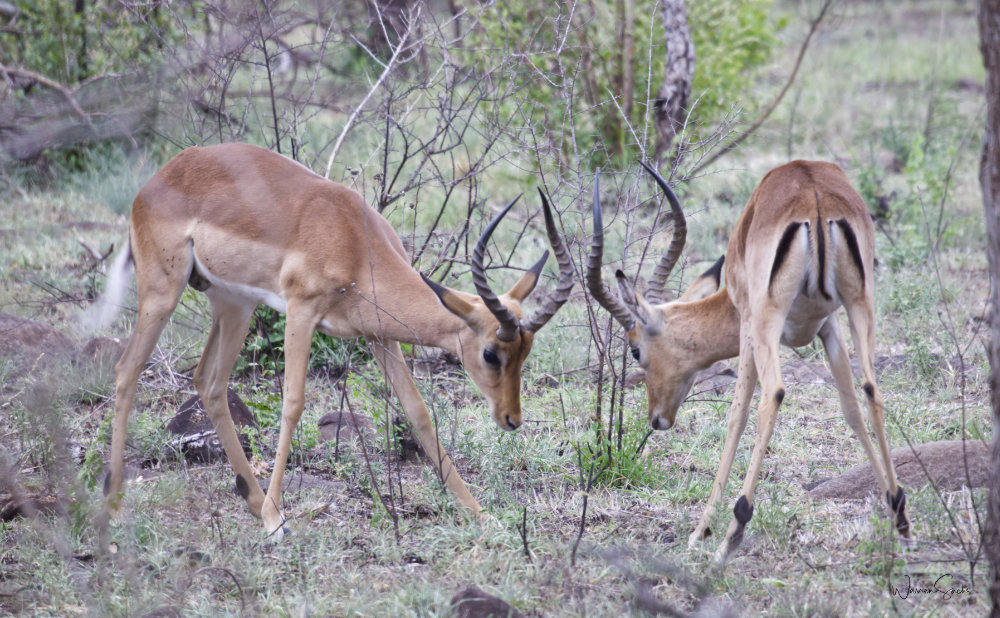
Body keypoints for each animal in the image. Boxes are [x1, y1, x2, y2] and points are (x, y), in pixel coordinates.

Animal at [90, 142, 573, 538]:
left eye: (526, 352)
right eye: (491, 352)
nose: (512, 419)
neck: (352, 240)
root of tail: (156, 181)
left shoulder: (379, 335)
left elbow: (418, 412)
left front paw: (478, 512)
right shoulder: (301, 312)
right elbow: (293, 403)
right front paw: (275, 519)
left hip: (233, 303)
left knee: (209, 381)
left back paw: (251, 499)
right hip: (163, 291)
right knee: (127, 371)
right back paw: (114, 507)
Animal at [587, 160, 911, 563]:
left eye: (635, 349)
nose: (657, 419)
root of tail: (815, 197)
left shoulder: (747, 325)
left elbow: (737, 414)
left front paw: (700, 531)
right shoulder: (829, 326)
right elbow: (850, 408)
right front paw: (894, 512)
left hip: (767, 319)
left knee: (772, 394)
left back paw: (732, 534)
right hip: (860, 303)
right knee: (872, 390)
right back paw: (900, 513)